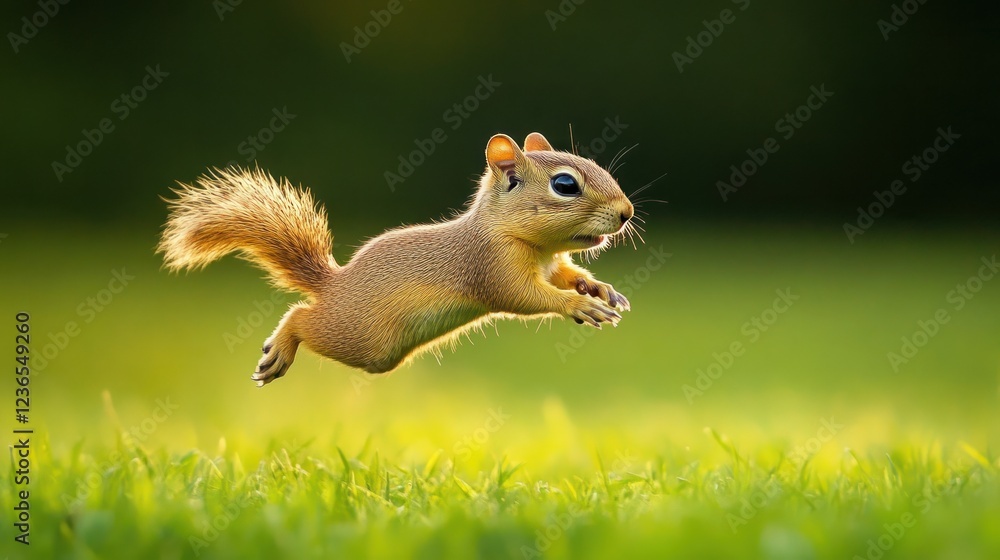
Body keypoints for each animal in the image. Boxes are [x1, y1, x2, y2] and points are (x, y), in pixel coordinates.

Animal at [157, 132, 637, 386]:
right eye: (565, 184)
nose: (627, 212)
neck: (535, 246)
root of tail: (333, 285)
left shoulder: (552, 264)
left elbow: (568, 274)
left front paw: (599, 289)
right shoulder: (491, 265)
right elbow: (523, 297)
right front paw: (578, 305)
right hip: (357, 337)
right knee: (301, 317)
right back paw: (281, 346)